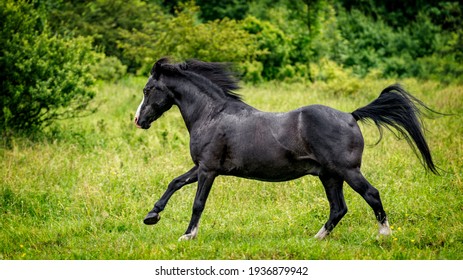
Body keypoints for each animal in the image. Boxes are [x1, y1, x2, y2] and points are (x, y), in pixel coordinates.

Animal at [134, 57, 438, 241]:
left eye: (148, 90)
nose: (138, 120)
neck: (211, 115)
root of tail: (351, 116)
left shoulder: (208, 169)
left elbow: (198, 203)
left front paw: (187, 235)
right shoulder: (201, 167)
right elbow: (174, 183)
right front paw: (152, 216)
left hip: (348, 171)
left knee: (371, 195)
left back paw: (383, 234)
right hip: (330, 176)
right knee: (338, 208)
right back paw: (316, 239)